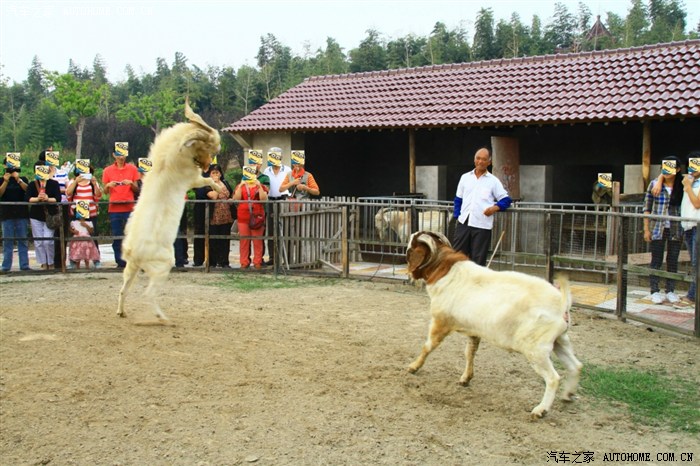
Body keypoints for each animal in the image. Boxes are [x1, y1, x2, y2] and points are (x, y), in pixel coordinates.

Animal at [116, 99, 223, 322]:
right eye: (208, 143)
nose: (209, 163)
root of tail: (135, 252)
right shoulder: (193, 179)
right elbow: (207, 180)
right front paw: (218, 189)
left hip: (131, 269)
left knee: (124, 289)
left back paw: (122, 311)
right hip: (163, 265)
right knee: (149, 293)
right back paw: (161, 317)